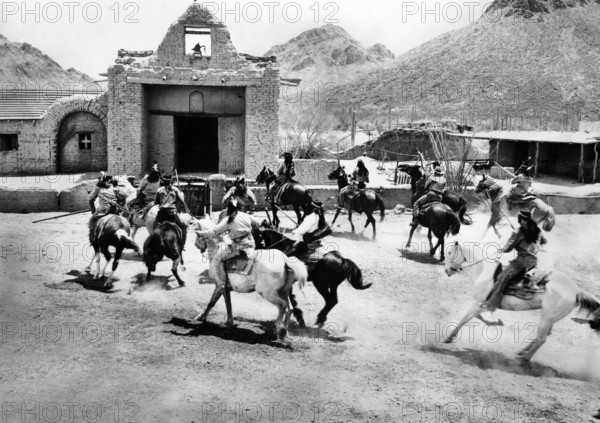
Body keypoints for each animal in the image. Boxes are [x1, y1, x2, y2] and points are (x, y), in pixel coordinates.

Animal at [440, 240, 600, 362]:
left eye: (449, 253)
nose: (447, 271)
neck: (485, 270)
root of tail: (576, 290)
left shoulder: (478, 303)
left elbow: (464, 319)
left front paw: (448, 338)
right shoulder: (479, 305)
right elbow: (476, 318)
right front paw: (495, 322)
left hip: (547, 317)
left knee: (541, 339)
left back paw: (524, 359)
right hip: (550, 318)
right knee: (540, 337)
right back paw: (521, 352)